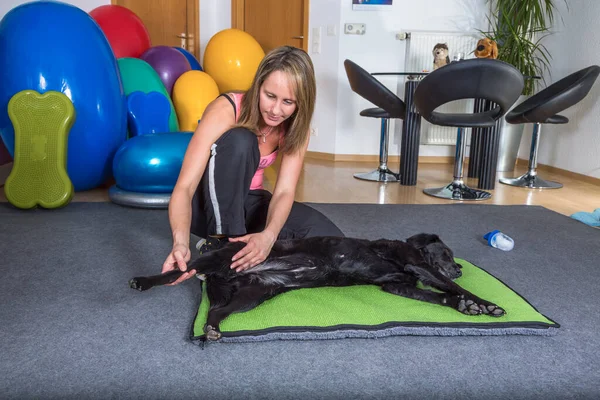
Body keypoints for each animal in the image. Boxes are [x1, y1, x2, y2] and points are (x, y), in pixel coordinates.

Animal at [129, 233, 504, 340]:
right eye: (447, 253)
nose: (460, 267)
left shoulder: (399, 287)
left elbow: (438, 296)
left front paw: (465, 307)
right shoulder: (416, 265)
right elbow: (450, 287)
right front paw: (485, 304)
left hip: (253, 294)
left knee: (218, 310)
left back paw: (212, 330)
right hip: (216, 261)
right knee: (178, 271)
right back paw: (144, 281)